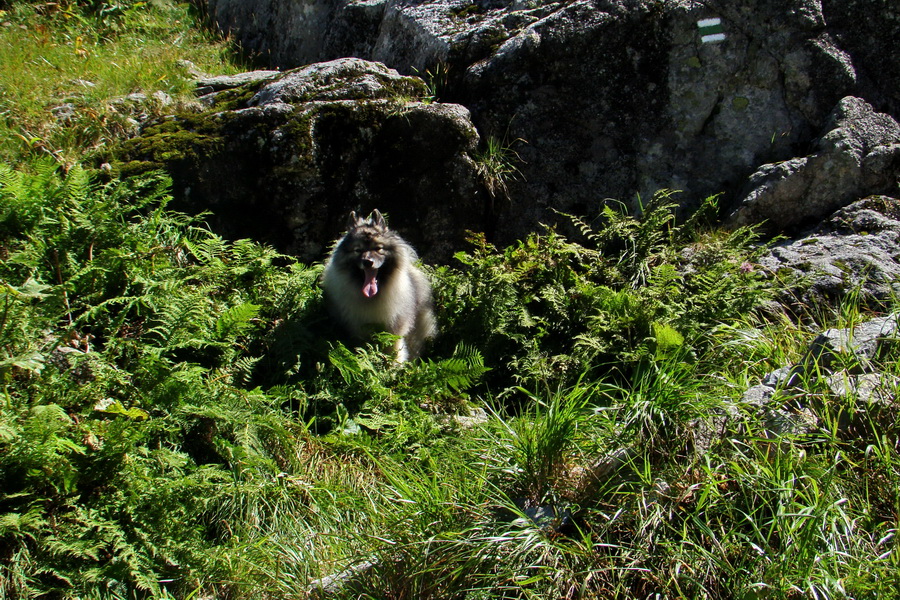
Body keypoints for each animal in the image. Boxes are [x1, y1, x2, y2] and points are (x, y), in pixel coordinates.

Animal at [322, 211, 438, 360]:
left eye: (378, 248)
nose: (367, 262)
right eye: (358, 250)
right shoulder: (358, 330)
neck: (372, 298)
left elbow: (394, 352)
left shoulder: (394, 330)